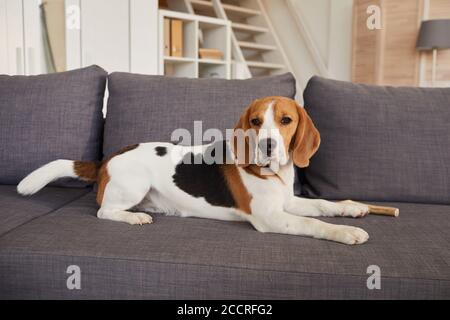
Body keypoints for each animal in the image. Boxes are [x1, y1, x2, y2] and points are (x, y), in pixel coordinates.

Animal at [16, 96, 370, 244]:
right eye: (256, 121)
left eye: (286, 120)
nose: (267, 146)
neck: (271, 173)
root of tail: (108, 158)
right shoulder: (271, 217)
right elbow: (313, 222)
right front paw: (345, 232)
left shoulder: (288, 202)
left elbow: (322, 206)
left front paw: (352, 209)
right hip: (134, 185)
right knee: (105, 212)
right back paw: (135, 217)